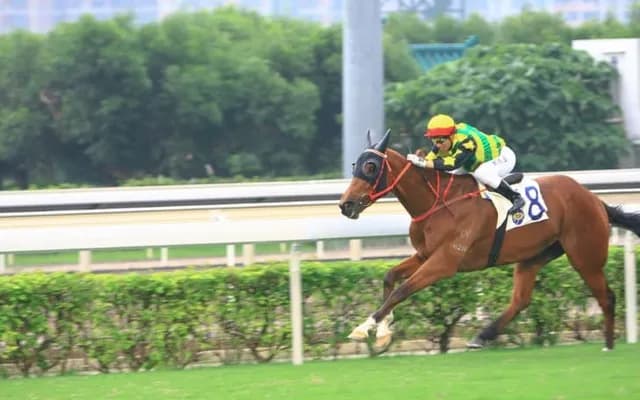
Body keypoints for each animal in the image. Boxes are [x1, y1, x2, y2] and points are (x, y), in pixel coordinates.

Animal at [338, 129, 640, 350]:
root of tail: (595, 200)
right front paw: (382, 333)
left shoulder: (444, 262)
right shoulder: (425, 255)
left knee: (607, 296)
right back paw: (482, 336)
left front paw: (364, 328)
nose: (345, 205)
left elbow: (402, 290)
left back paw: (609, 345)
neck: (438, 202)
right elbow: (390, 277)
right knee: (521, 300)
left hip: (584, 255)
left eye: (370, 166)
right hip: (535, 256)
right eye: (355, 164)